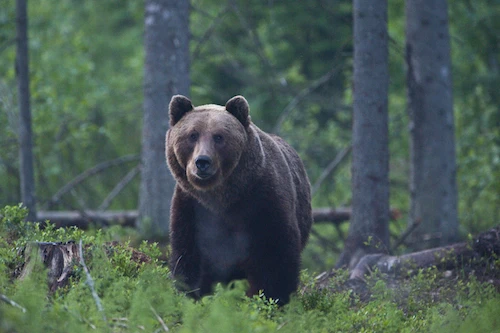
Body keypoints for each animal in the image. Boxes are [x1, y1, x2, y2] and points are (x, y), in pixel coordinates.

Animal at [166, 94, 310, 304]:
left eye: (219, 136)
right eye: (192, 135)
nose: (202, 162)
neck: (223, 197)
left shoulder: (263, 200)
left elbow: (276, 255)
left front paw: (270, 298)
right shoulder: (192, 208)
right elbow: (188, 256)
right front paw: (192, 295)